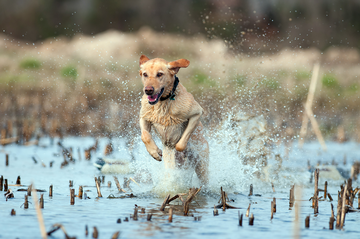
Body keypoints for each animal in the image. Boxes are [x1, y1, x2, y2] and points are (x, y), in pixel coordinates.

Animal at [139, 54, 210, 185]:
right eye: (145, 74)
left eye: (159, 74)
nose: (148, 90)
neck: (163, 102)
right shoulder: (144, 116)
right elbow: (145, 136)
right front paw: (155, 152)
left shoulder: (197, 113)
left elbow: (180, 144)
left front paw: (179, 148)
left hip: (202, 168)